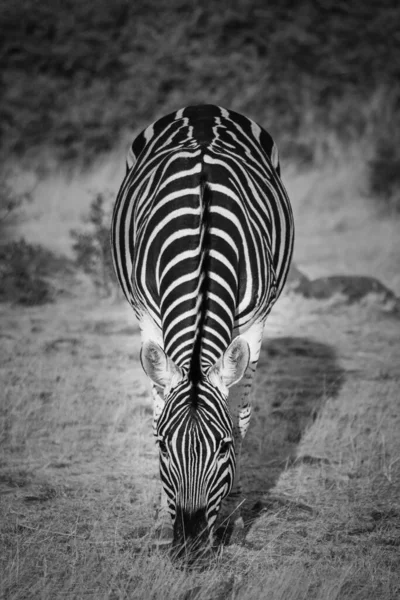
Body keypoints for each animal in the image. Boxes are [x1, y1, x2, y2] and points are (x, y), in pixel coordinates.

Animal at [111, 103, 294, 556]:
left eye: (224, 448)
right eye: (163, 447)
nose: (191, 545)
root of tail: (202, 108)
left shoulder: (256, 321)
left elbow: (242, 416)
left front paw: (236, 517)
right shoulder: (147, 317)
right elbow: (157, 408)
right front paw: (163, 516)